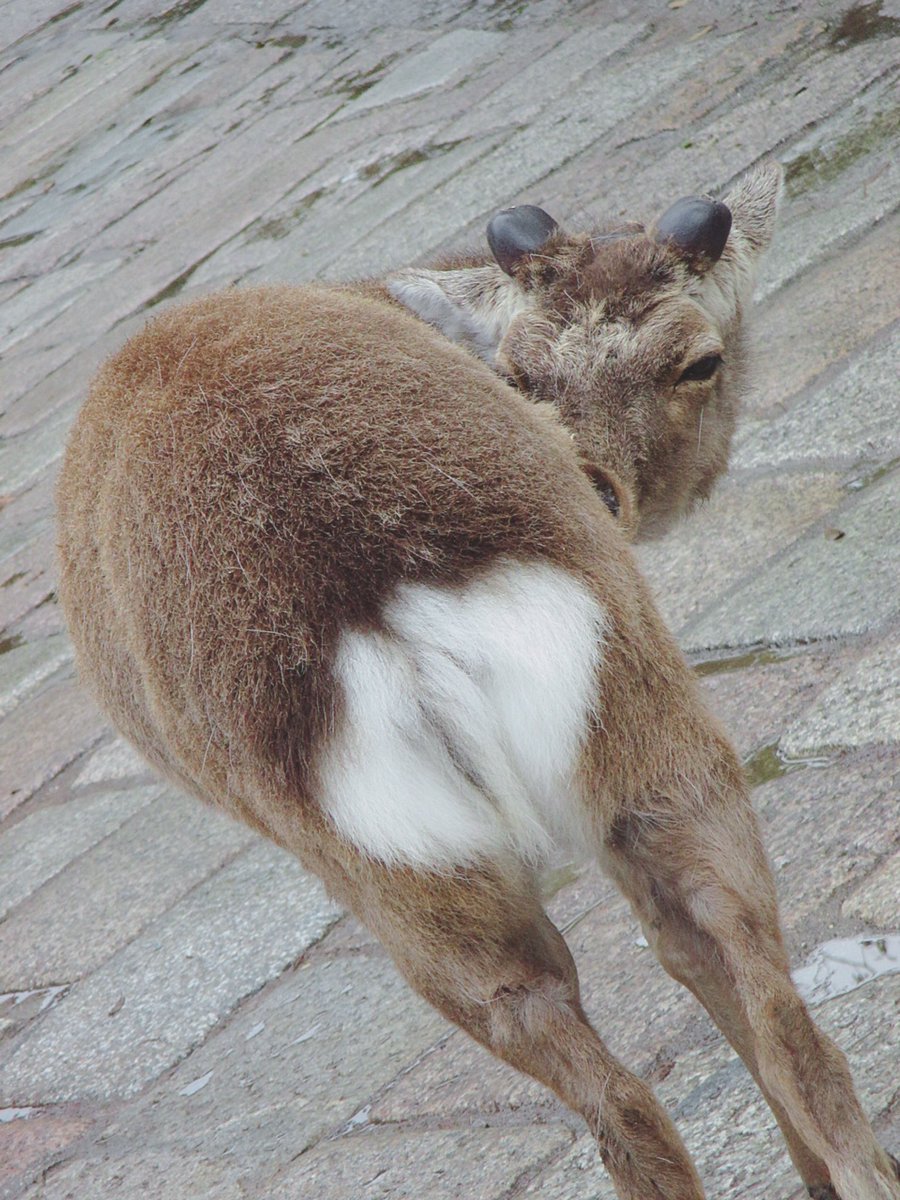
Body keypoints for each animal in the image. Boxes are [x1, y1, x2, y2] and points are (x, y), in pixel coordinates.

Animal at [56, 160, 900, 1200]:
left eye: (697, 361)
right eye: (525, 371)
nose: (602, 487)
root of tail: (395, 618)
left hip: (421, 864)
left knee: (666, 1050)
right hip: (616, 749)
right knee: (702, 997)